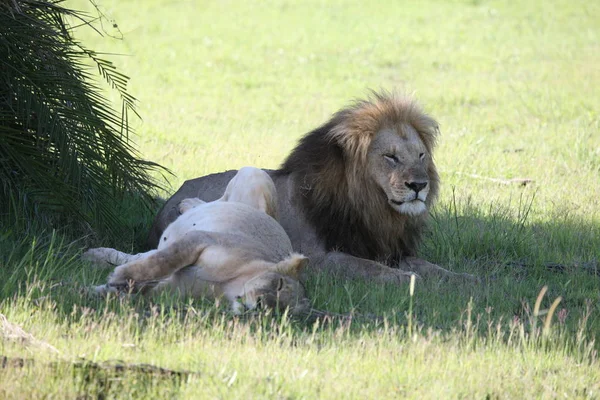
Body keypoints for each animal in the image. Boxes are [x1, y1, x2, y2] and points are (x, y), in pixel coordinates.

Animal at [84, 167, 310, 314]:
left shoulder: (173, 288)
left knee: (140, 255)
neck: (231, 285)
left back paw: (95, 256)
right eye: (279, 284)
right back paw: (188, 203)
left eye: (280, 311)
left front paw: (93, 291)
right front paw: (119, 277)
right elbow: (163, 262)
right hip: (256, 176)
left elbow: (131, 291)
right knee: (220, 199)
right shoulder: (201, 239)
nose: (262, 306)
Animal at [149, 91, 468, 284]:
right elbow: (375, 269)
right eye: (391, 156)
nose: (419, 185)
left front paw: (465, 281)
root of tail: (171, 197)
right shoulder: (321, 259)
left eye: (420, 155)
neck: (373, 209)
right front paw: (412, 282)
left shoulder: (391, 249)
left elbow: (429, 266)